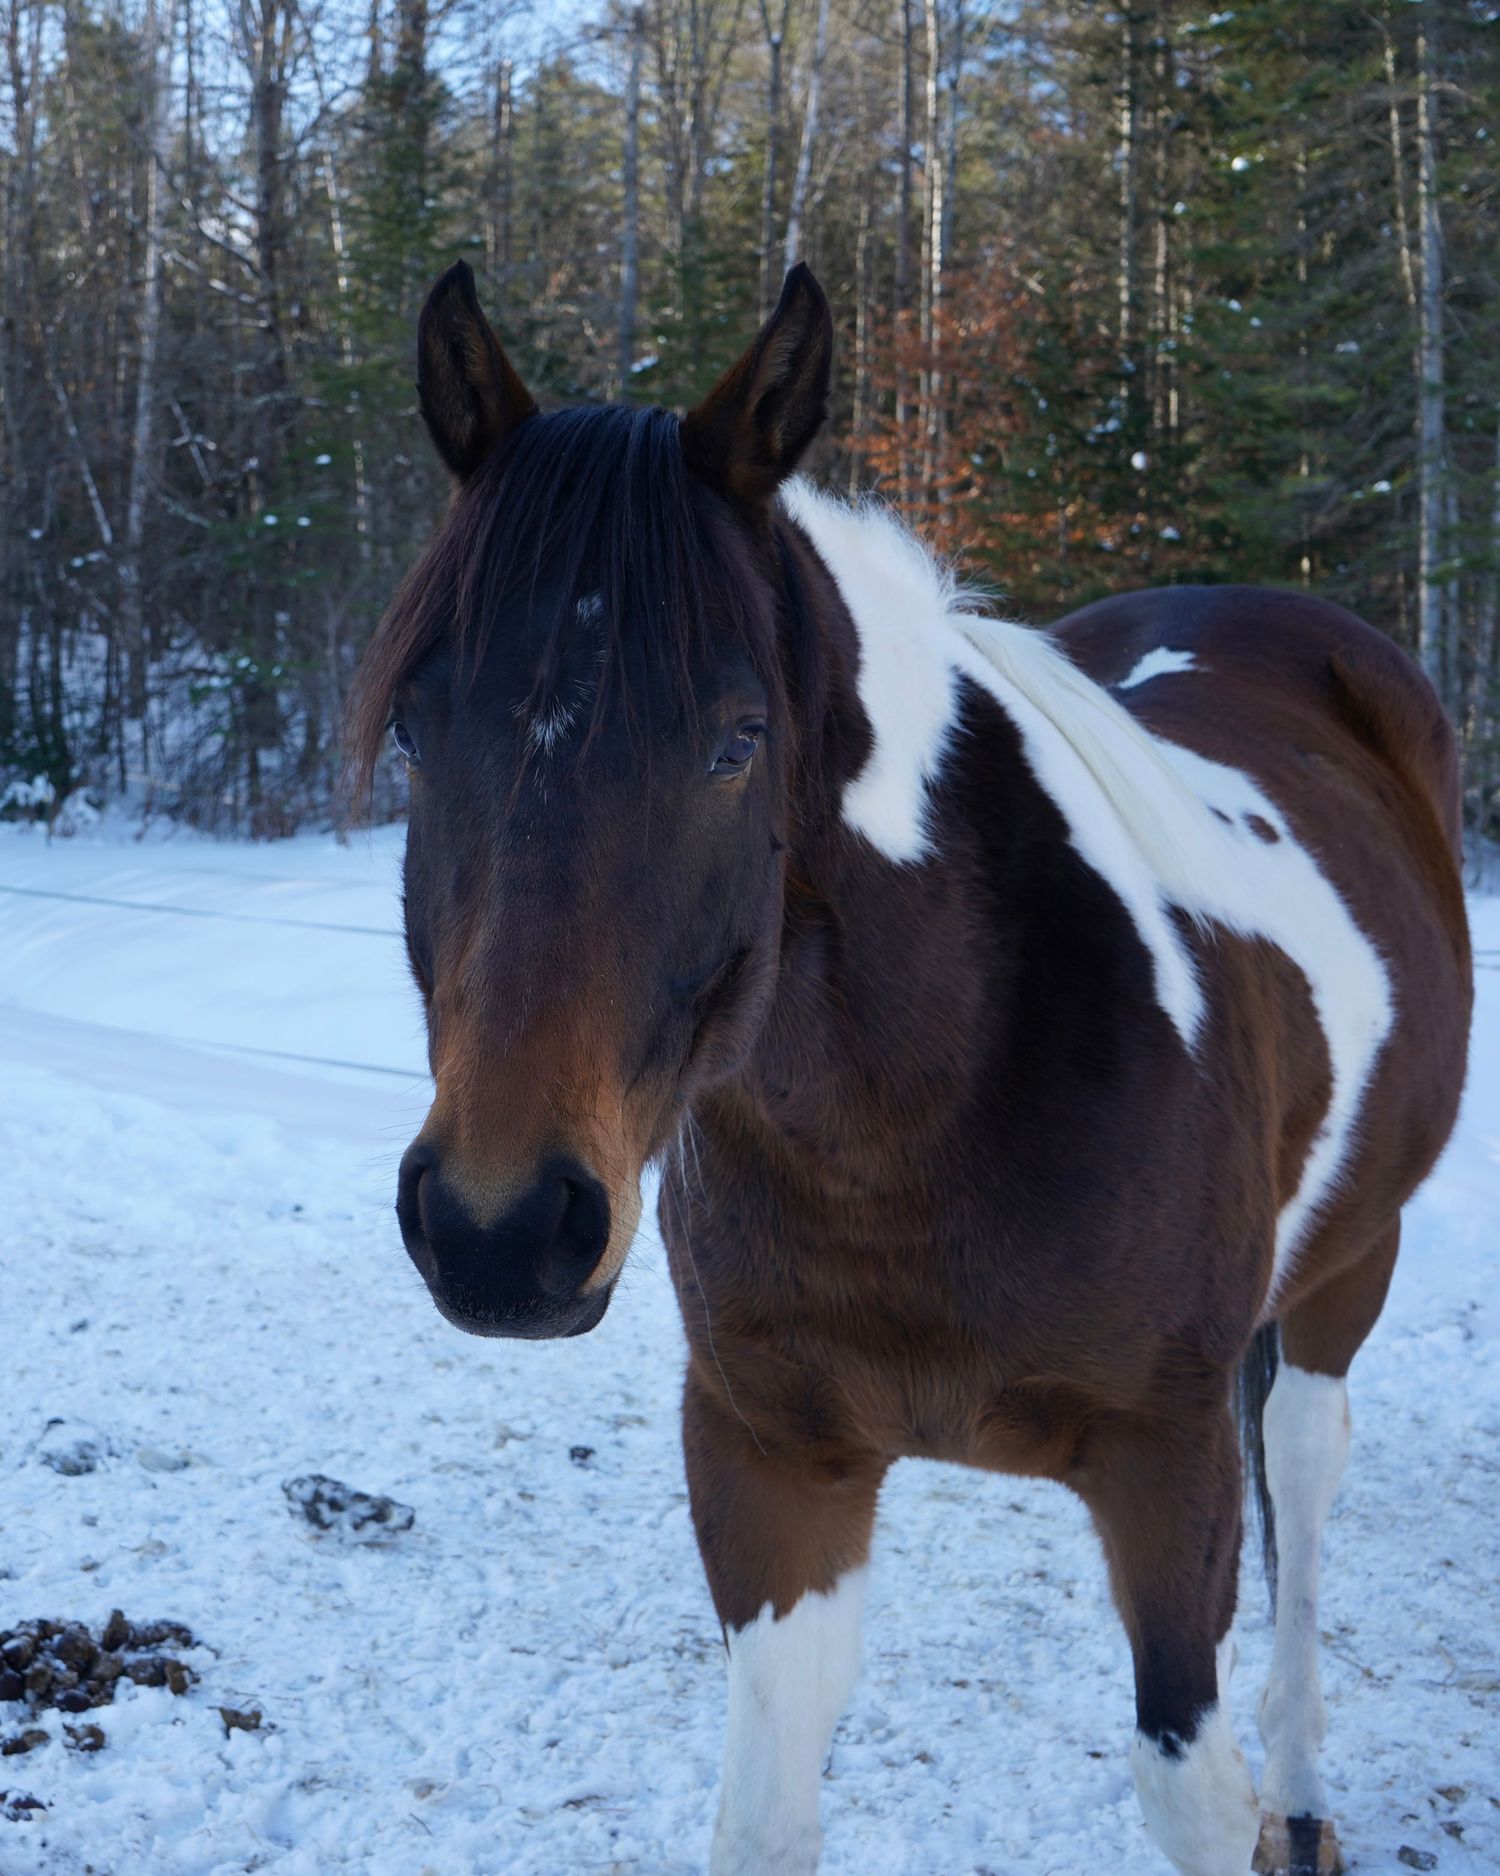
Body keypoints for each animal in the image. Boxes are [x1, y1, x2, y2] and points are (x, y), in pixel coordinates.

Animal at [347, 260, 1472, 1876]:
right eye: (417, 729)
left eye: (737, 741)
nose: (497, 1229)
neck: (917, 1111)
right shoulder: (772, 1463)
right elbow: (762, 1820)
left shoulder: (1170, 1460)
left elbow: (1194, 1790)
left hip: (1342, 1275)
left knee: (1307, 1493)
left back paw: (1309, 1795)